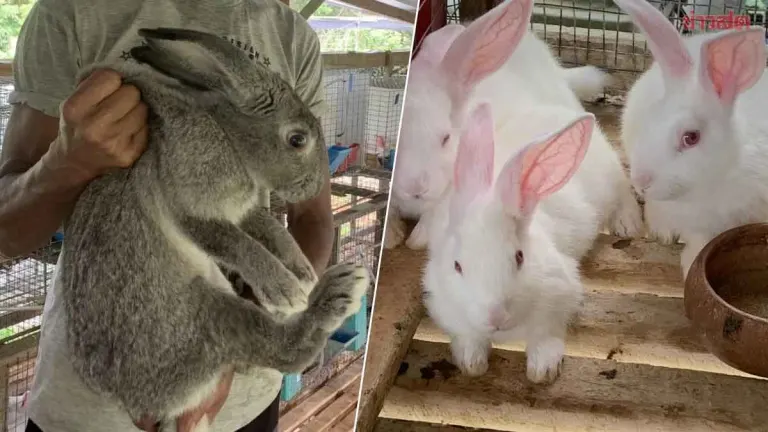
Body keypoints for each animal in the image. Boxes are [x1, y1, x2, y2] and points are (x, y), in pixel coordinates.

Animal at [423, 102, 610, 383]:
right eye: (457, 266)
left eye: (519, 257)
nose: (496, 316)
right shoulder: (447, 308)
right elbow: (468, 338)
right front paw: (472, 364)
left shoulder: (559, 297)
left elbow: (546, 338)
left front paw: (542, 371)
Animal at [614, 0, 768, 278]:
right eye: (651, 118)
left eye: (691, 137)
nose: (641, 181)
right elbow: (699, 240)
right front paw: (691, 263)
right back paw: (662, 231)